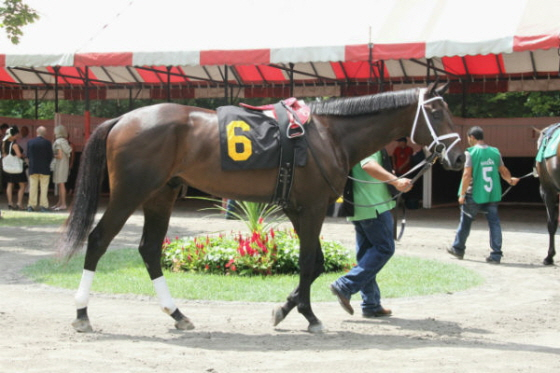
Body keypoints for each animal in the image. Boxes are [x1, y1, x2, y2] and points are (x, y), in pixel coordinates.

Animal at [59, 83, 466, 332]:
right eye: (436, 112)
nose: (460, 157)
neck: (327, 135)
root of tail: (123, 119)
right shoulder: (312, 207)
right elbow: (308, 263)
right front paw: (308, 315)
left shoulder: (299, 208)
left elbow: (316, 263)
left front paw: (287, 308)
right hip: (130, 194)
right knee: (98, 240)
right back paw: (80, 313)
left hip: (161, 195)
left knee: (148, 250)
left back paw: (177, 314)